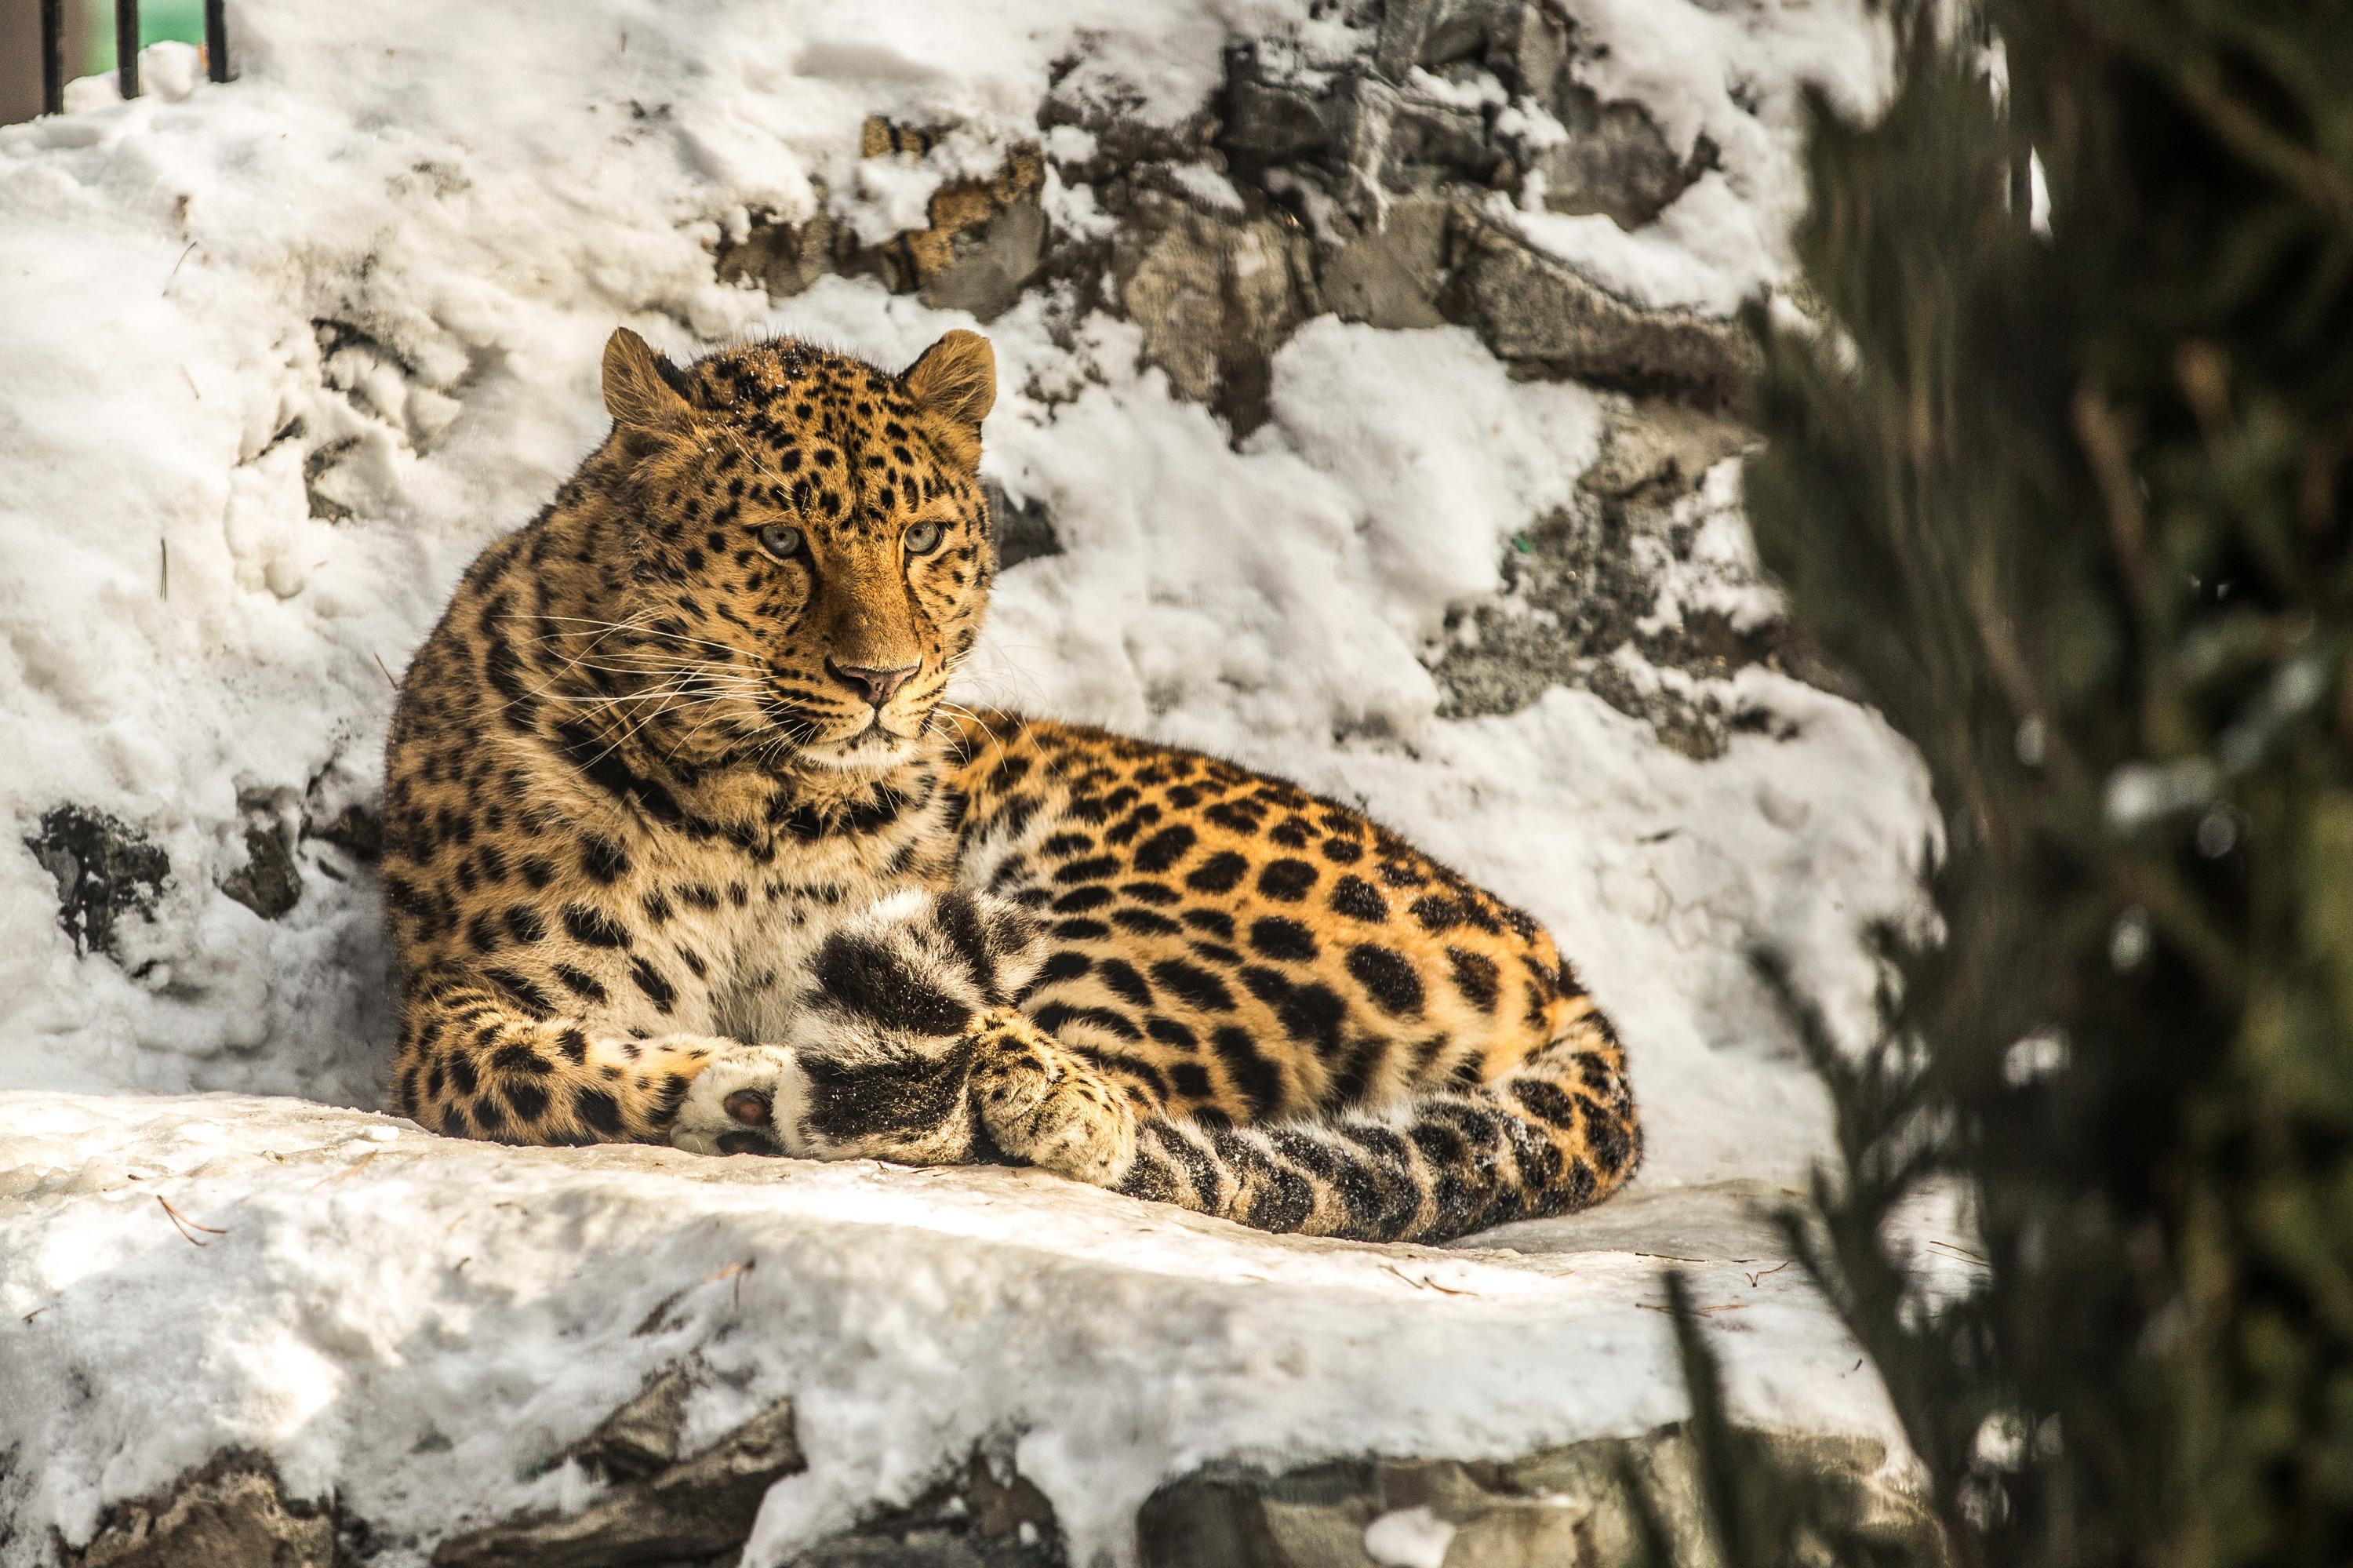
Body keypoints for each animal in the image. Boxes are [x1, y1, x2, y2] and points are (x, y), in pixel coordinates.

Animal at [381, 322, 1638, 1242]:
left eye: (922, 539)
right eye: (782, 543)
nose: (881, 678)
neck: (754, 800)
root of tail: (1562, 971)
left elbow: (971, 1038)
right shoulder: (463, 1000)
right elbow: (555, 1062)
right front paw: (743, 1085)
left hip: (1127, 910)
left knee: (1122, 1086)